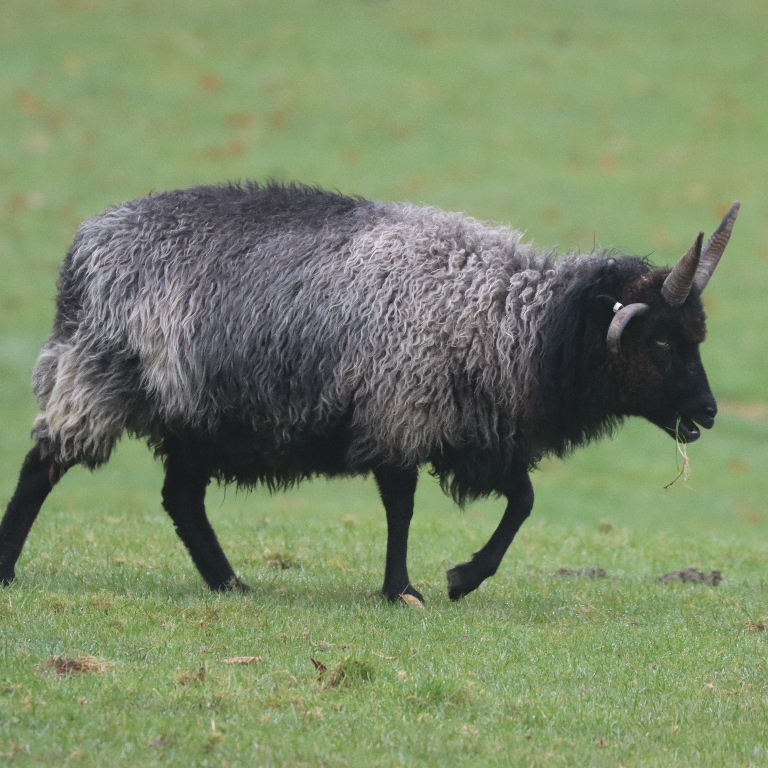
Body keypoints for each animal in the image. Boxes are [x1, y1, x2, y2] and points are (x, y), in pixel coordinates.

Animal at [0, 182, 739, 602]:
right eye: (663, 342)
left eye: (696, 335)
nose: (707, 414)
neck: (517, 323)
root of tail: (87, 243)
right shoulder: (400, 410)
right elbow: (402, 508)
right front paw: (404, 589)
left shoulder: (476, 431)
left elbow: (523, 502)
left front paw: (463, 578)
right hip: (95, 377)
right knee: (44, 466)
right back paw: (8, 568)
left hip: (195, 415)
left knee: (181, 499)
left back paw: (231, 584)